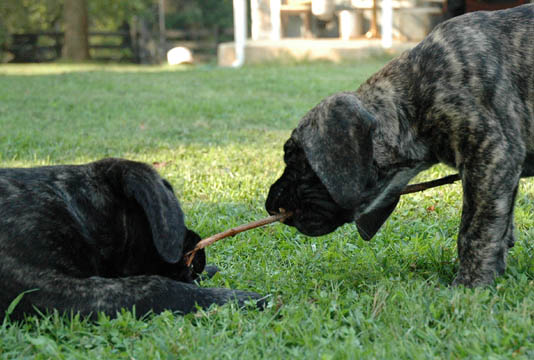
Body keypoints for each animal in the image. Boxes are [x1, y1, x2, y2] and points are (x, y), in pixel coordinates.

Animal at [266, 4, 534, 286]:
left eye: (294, 159)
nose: (270, 205)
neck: (414, 99)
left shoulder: (490, 156)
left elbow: (475, 230)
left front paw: (470, 284)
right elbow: (501, 222)